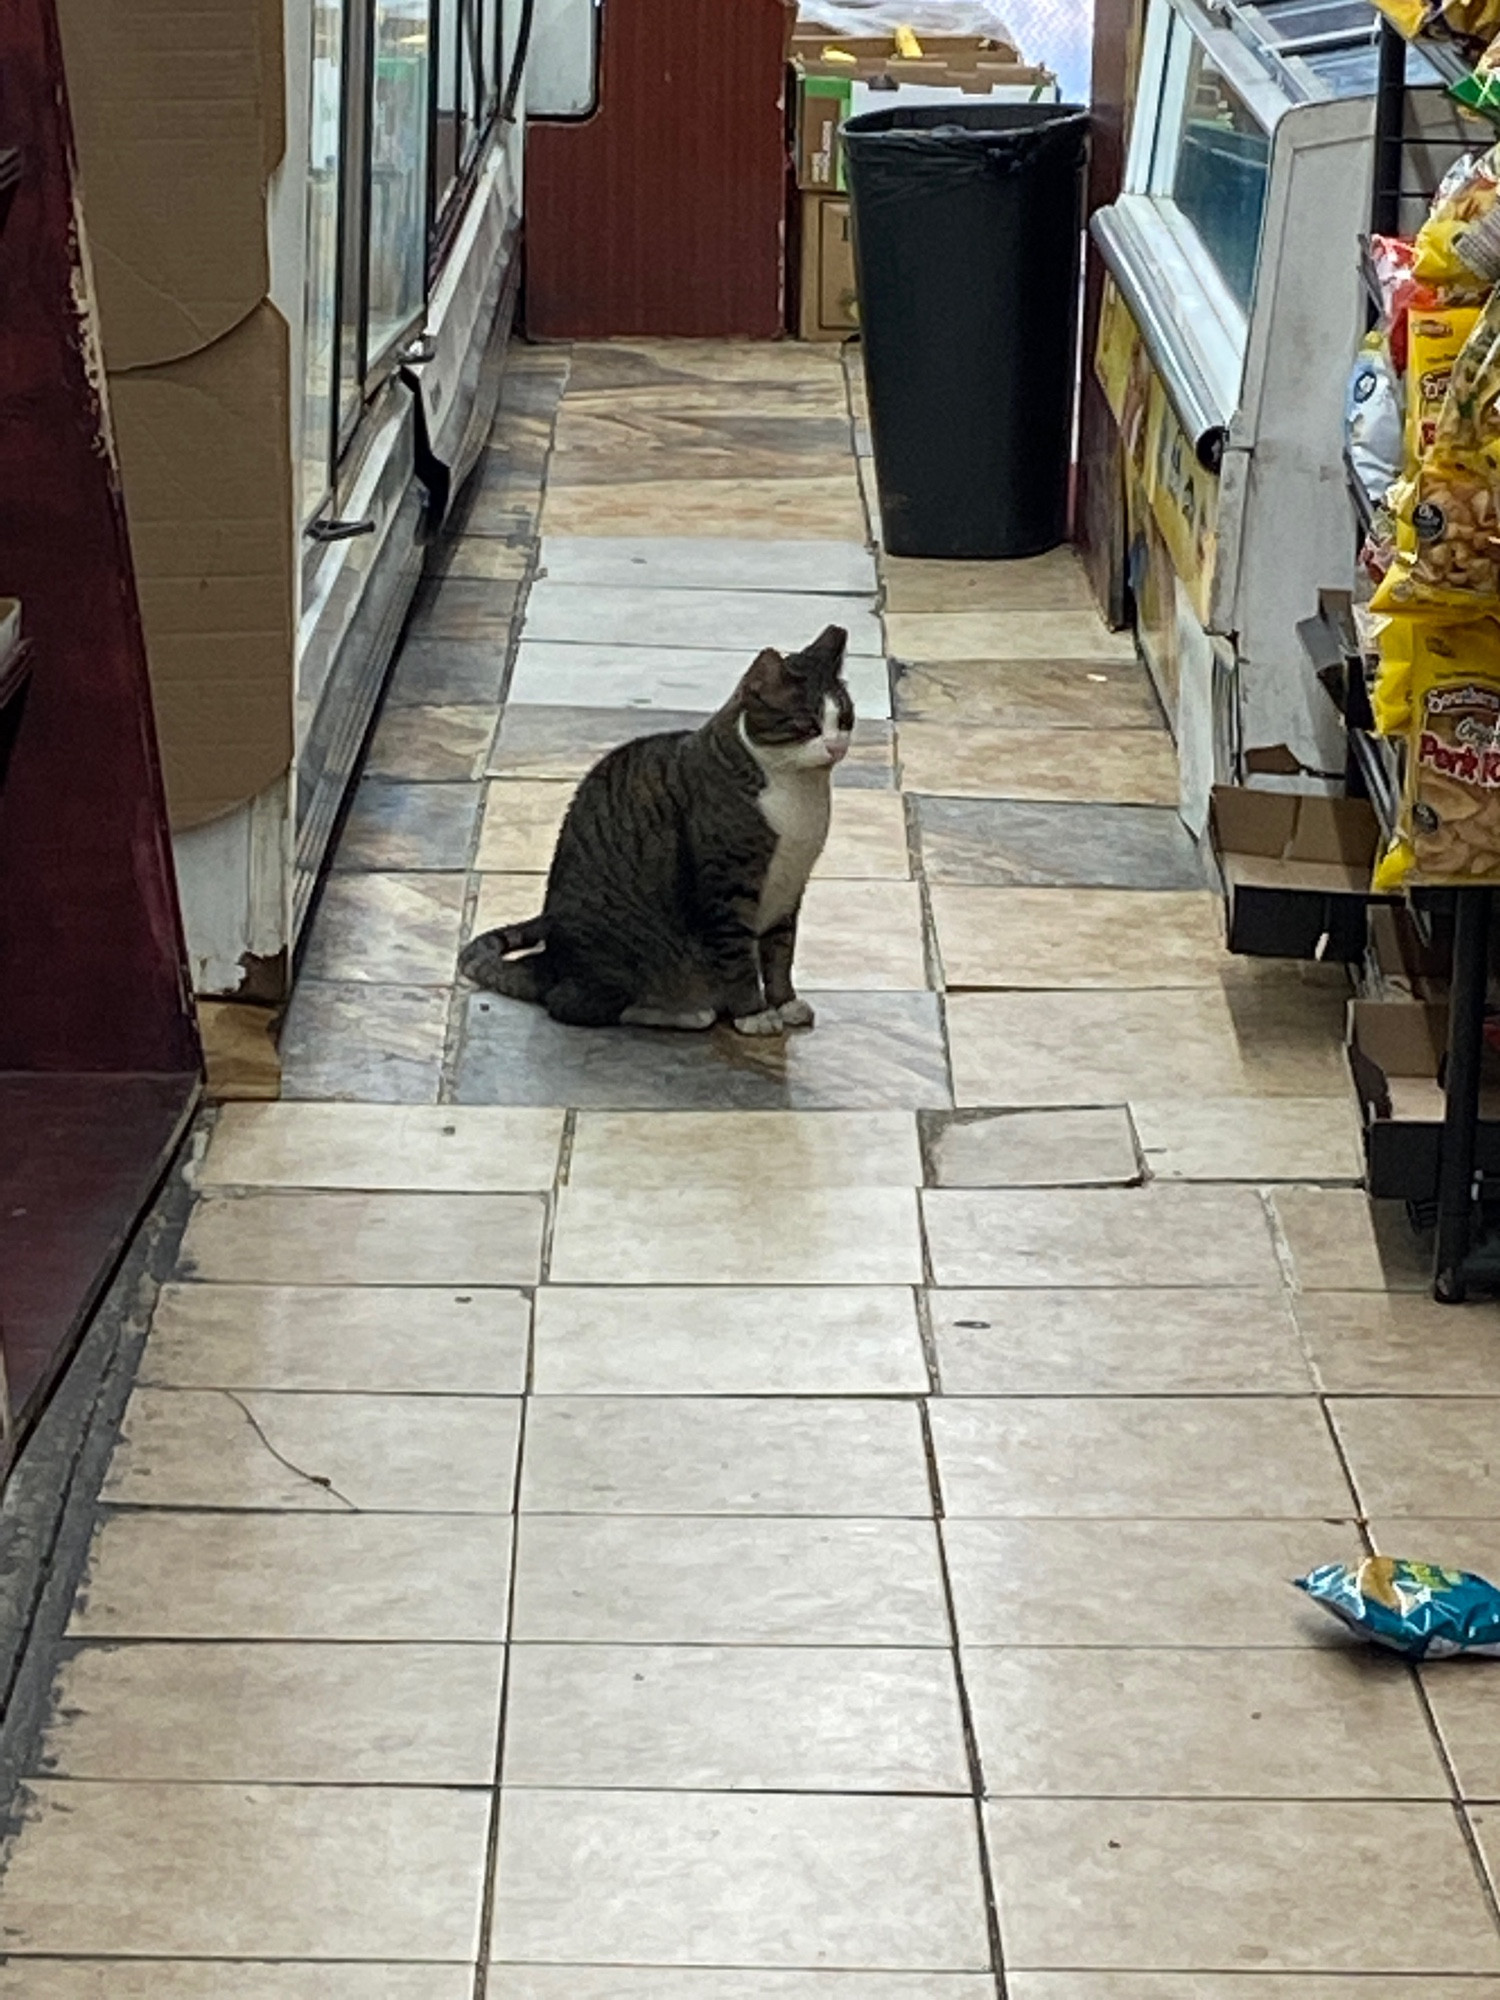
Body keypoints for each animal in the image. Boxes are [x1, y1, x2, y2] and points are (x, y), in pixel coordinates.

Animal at [458, 620, 856, 1032]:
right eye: (807, 724)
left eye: (844, 719)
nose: (836, 747)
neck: (798, 794)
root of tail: (549, 964)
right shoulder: (727, 886)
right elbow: (739, 960)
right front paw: (754, 1013)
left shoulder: (790, 888)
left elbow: (780, 952)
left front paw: (785, 1003)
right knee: (574, 1005)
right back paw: (684, 1013)